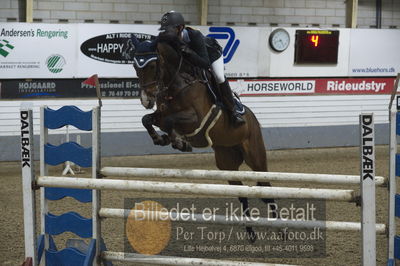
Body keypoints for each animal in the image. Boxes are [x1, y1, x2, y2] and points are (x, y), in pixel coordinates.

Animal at [134, 35, 276, 241]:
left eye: (153, 65)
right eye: (135, 67)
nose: (146, 100)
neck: (177, 83)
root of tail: (253, 120)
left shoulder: (195, 119)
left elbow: (169, 121)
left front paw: (178, 142)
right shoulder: (160, 114)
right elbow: (148, 119)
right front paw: (165, 140)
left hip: (256, 158)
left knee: (267, 187)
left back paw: (281, 229)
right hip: (226, 163)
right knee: (242, 193)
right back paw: (250, 233)